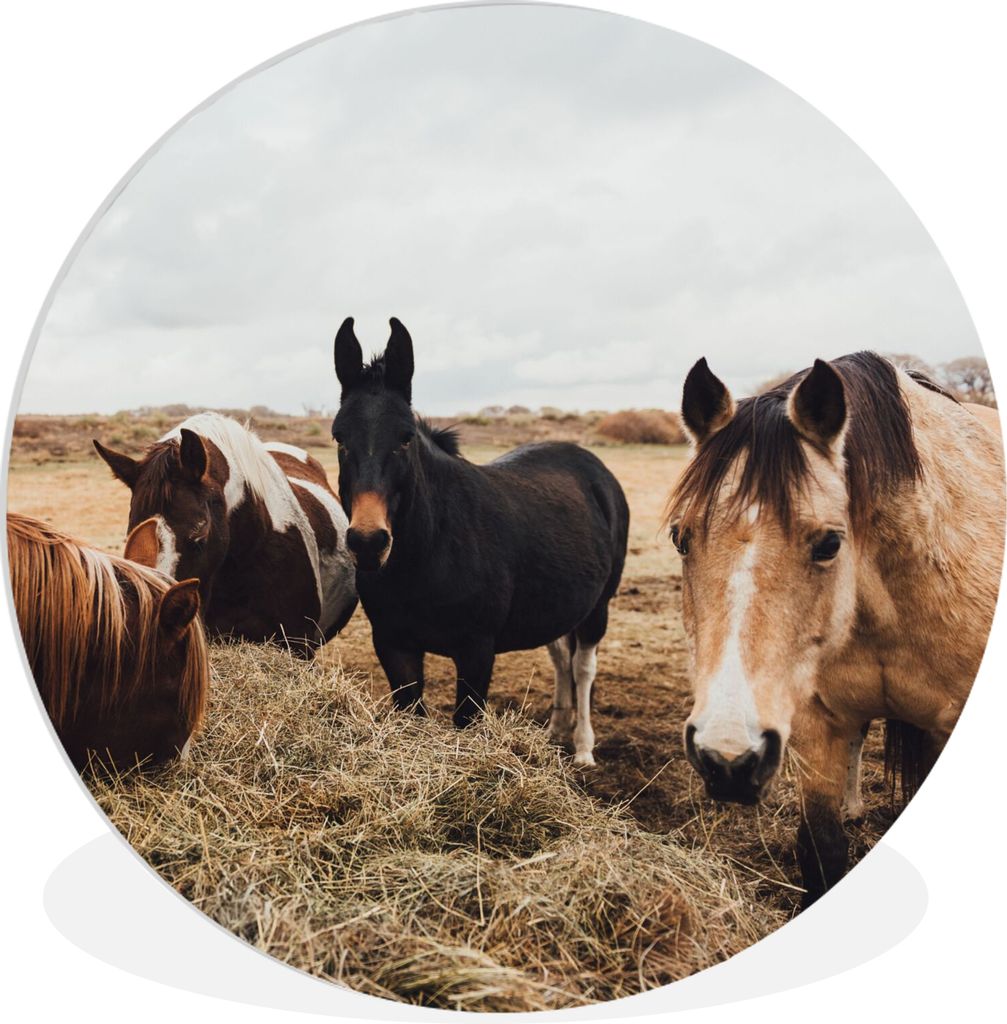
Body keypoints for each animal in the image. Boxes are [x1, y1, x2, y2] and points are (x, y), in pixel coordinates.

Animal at [330, 317, 630, 764]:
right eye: (339, 438)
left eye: (405, 437)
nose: (368, 542)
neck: (429, 552)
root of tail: (595, 468)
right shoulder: (393, 645)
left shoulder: (476, 651)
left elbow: (466, 720)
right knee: (561, 660)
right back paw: (555, 732)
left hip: (599, 607)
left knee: (583, 667)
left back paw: (582, 749)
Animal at [665, 351, 1004, 906]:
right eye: (680, 538)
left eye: (828, 544)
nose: (727, 759)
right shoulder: (814, 724)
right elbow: (820, 850)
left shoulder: (943, 726)